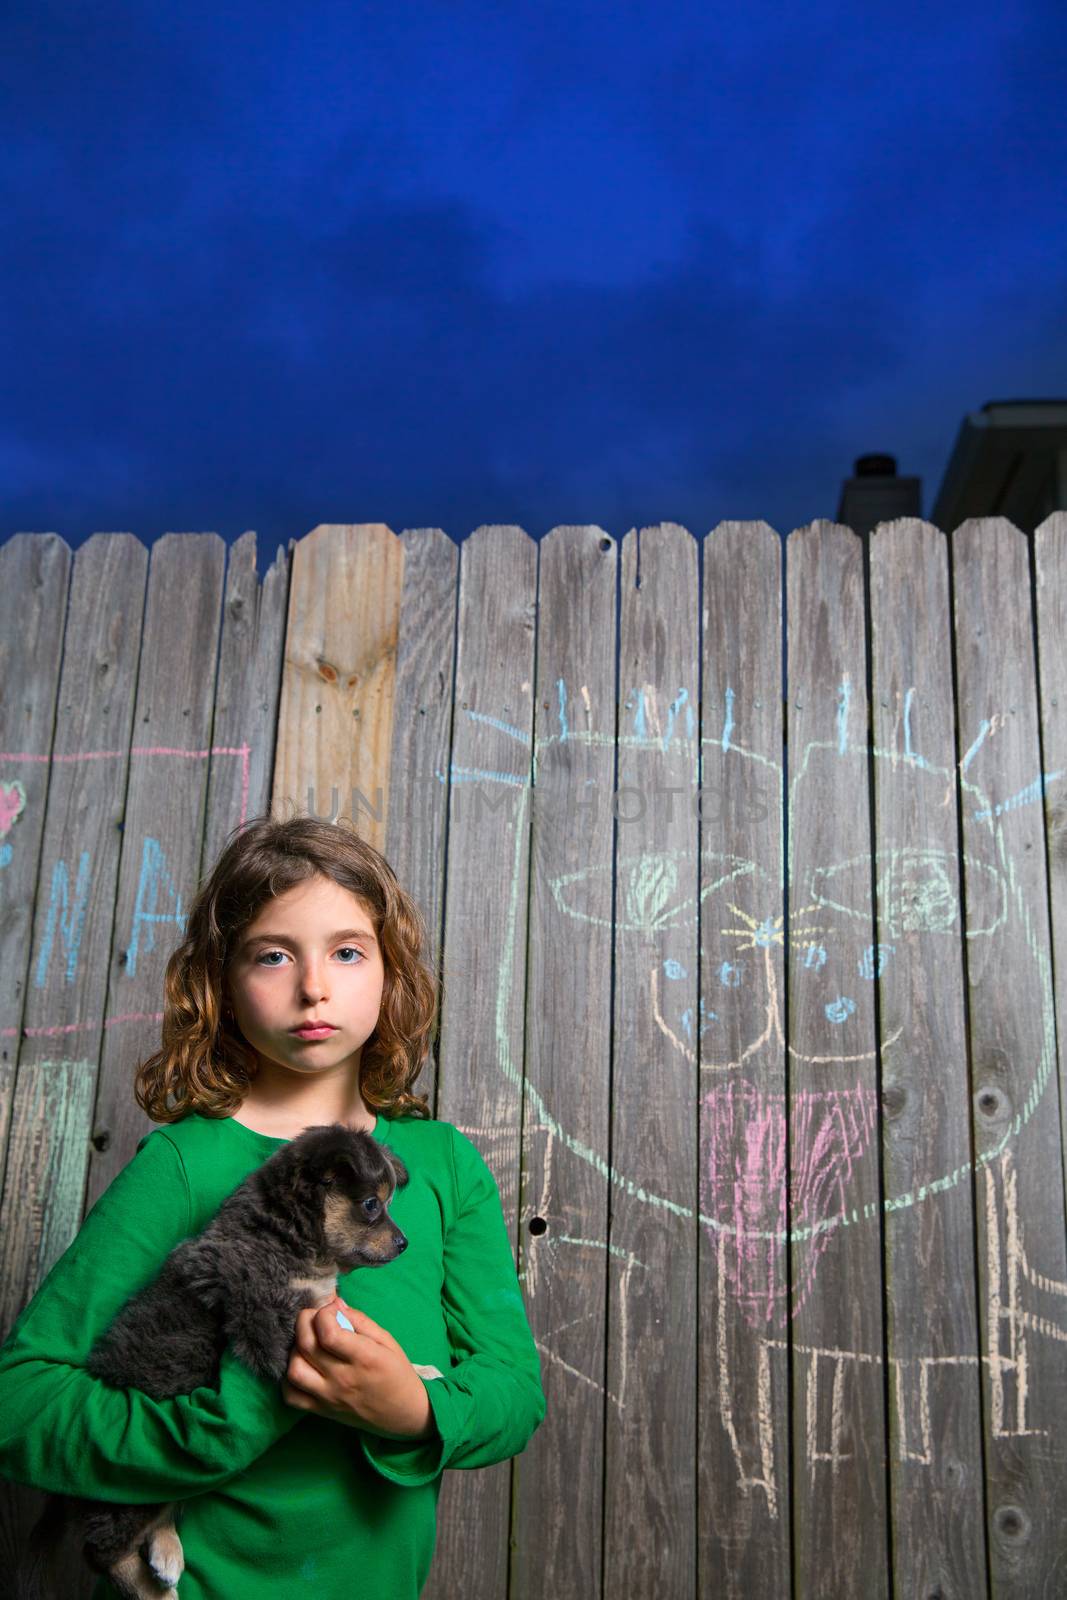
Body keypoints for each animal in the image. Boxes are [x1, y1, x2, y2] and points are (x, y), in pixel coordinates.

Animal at [21, 1126, 412, 1600]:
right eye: (372, 1204)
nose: (405, 1243)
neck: (282, 1237)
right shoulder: (270, 1322)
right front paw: (415, 1375)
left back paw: (167, 1555)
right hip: (124, 1481)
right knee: (104, 1550)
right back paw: (159, 1591)